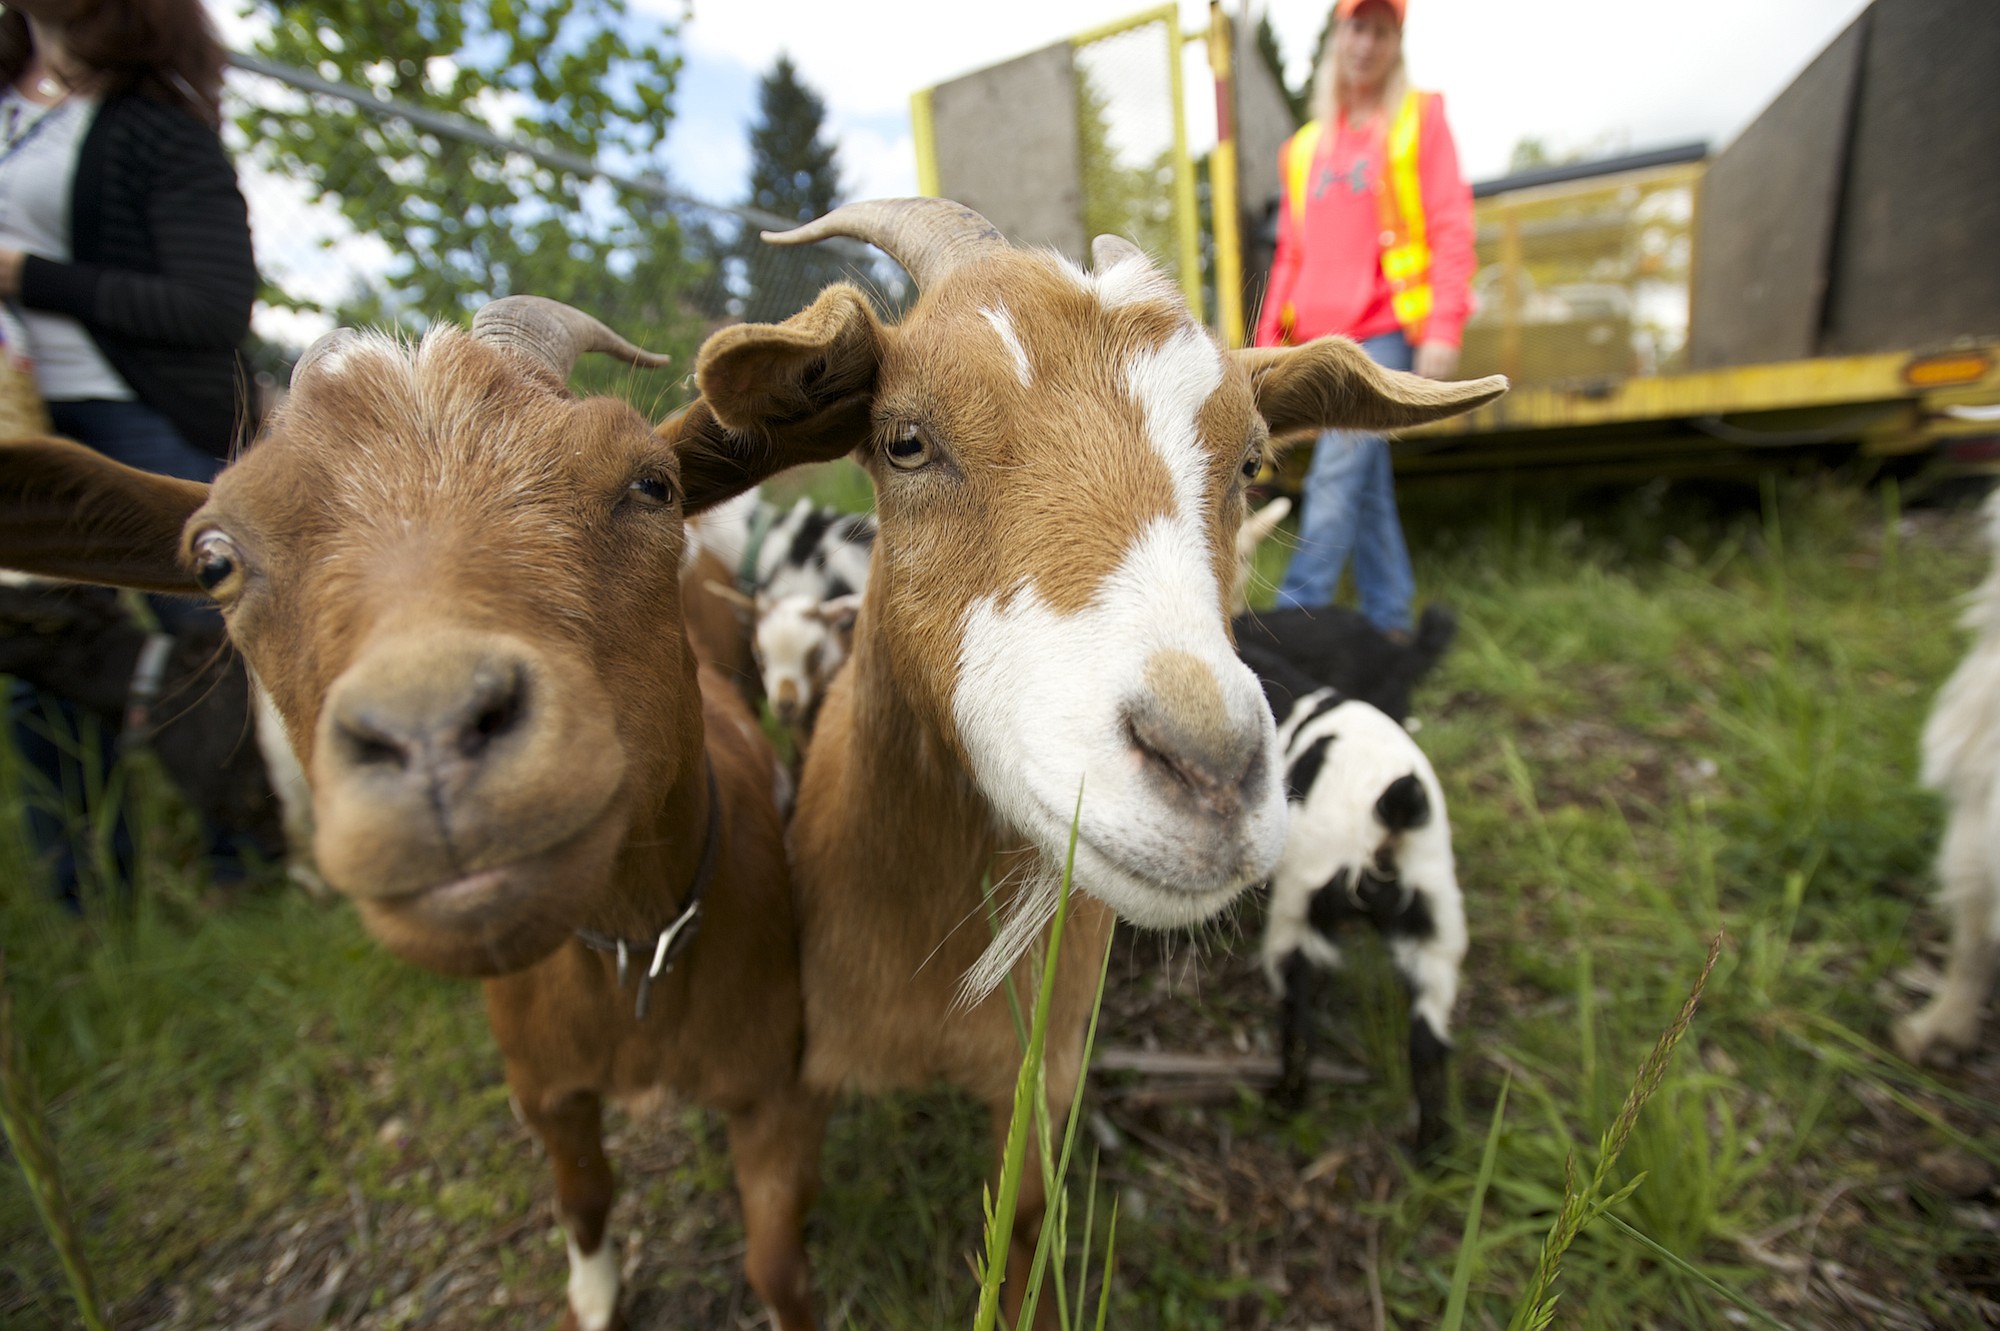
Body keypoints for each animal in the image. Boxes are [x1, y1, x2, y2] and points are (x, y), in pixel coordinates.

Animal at [0, 299, 828, 1327]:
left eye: (654, 482)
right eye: (214, 559)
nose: (433, 736)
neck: (635, 954)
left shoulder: (774, 1081)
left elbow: (777, 1265)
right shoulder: (544, 1089)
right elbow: (584, 1200)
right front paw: (593, 1295)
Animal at [1248, 647, 1472, 1143]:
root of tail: (1390, 812)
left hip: (1298, 914)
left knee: (1300, 1023)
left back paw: (1285, 1103)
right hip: (1436, 938)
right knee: (1428, 1046)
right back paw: (1430, 1148)